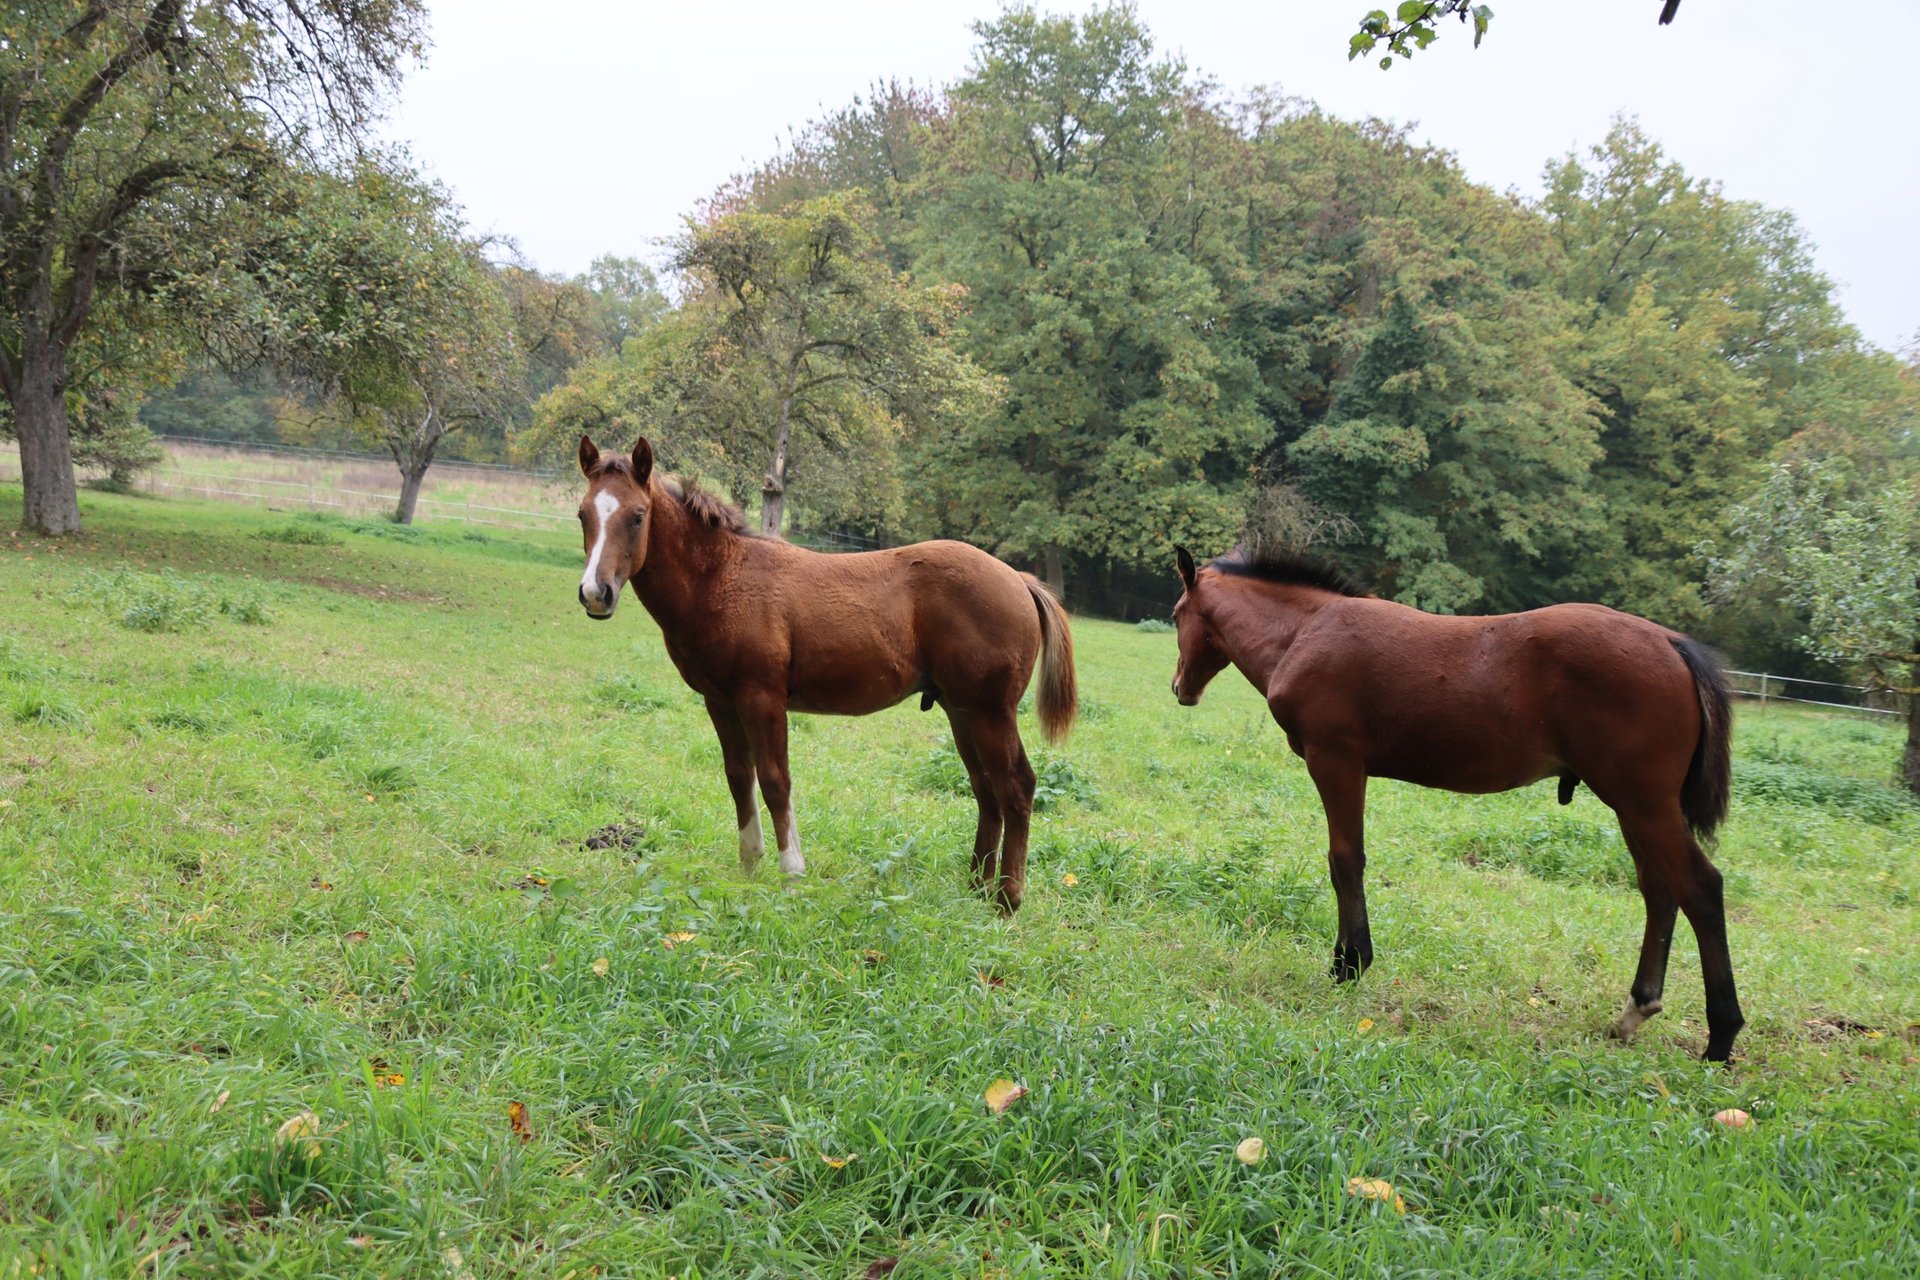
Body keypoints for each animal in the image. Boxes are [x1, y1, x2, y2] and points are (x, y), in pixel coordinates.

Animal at [573, 434, 1077, 913]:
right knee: (986, 789)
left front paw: (792, 875)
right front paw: (749, 871)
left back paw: (1007, 899)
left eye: (637, 516)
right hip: (961, 709)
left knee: (1016, 786)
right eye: (582, 514)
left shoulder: (762, 697)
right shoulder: (719, 701)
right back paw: (975, 890)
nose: (596, 594)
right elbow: (739, 778)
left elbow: (776, 780)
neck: (721, 577)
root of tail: (1018, 580)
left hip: (991, 711)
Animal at [1168, 546, 1745, 1062]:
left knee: (1699, 887)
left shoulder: (1335, 760)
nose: (1179, 688)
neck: (1304, 632)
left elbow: (1345, 860)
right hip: (1634, 807)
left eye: (1176, 615)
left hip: (1644, 802)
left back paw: (1720, 1037)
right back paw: (1635, 1011)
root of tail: (1671, 642)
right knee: (1659, 890)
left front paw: (1348, 964)